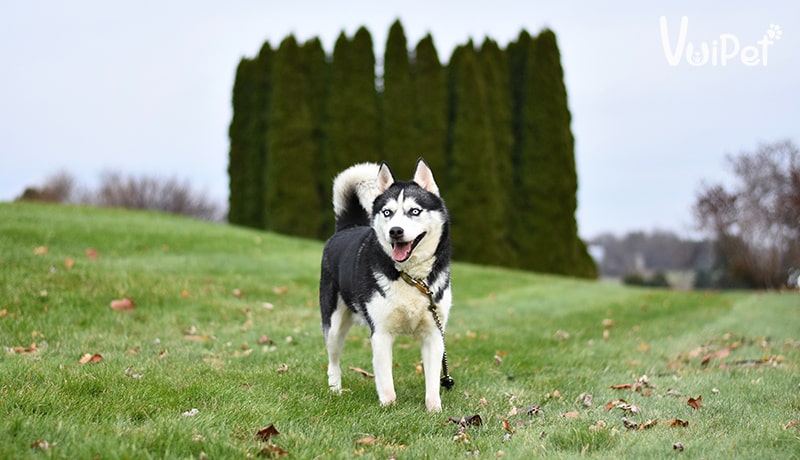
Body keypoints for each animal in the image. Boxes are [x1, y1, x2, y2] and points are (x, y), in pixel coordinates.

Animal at [320, 159, 456, 414]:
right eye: (387, 212)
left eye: (414, 211)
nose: (395, 231)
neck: (412, 278)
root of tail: (347, 227)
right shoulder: (381, 333)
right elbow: (385, 380)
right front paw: (388, 408)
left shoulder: (434, 334)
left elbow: (433, 380)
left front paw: (434, 410)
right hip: (333, 325)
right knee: (333, 359)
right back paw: (335, 390)